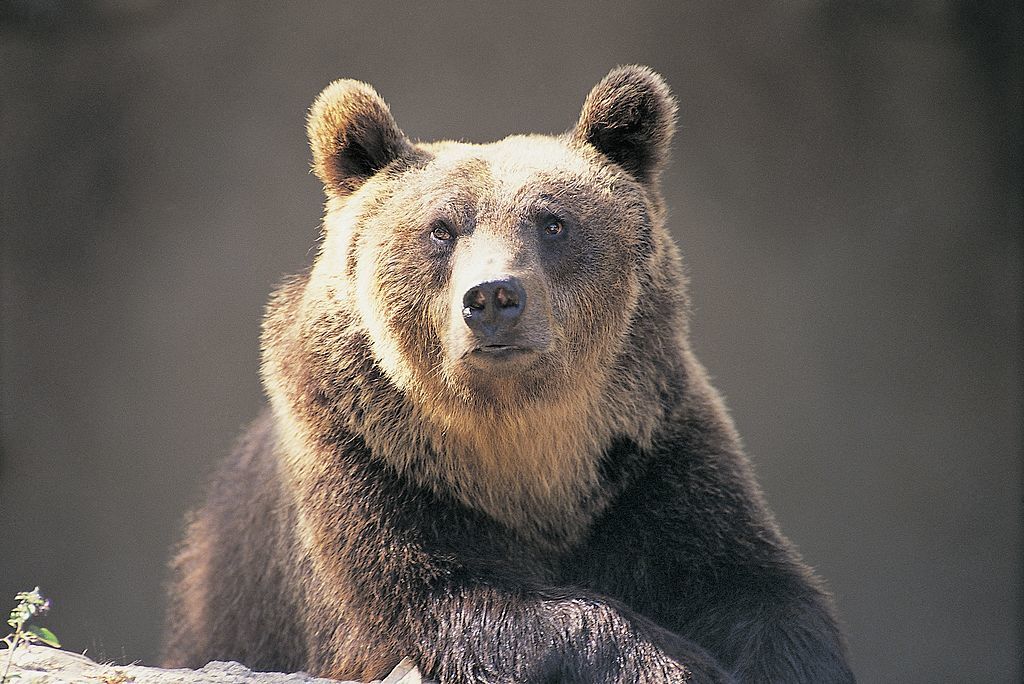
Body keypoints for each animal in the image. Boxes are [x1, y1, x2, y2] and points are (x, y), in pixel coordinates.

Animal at [163, 65, 856, 684]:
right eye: (442, 228)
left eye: (552, 222)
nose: (494, 296)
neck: (518, 446)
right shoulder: (364, 462)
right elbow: (439, 600)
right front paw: (674, 664)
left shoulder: (654, 459)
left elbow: (753, 585)